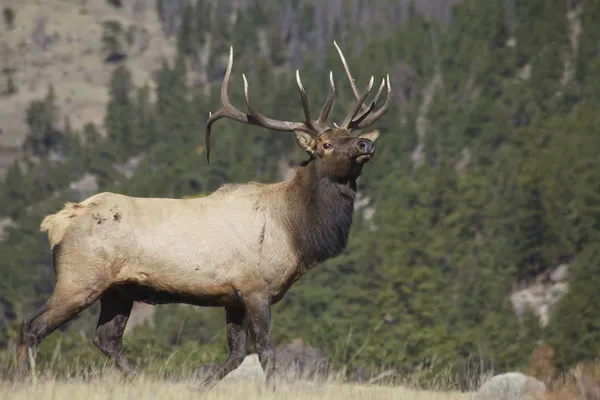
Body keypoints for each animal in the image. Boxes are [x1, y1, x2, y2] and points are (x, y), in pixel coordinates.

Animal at [16, 41, 392, 388]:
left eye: (352, 135)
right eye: (326, 145)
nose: (366, 145)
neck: (296, 232)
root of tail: (55, 222)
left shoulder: (232, 297)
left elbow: (236, 354)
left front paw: (199, 387)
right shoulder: (255, 288)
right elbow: (267, 353)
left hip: (119, 290)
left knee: (106, 339)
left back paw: (145, 381)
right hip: (78, 278)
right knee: (32, 327)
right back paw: (25, 380)